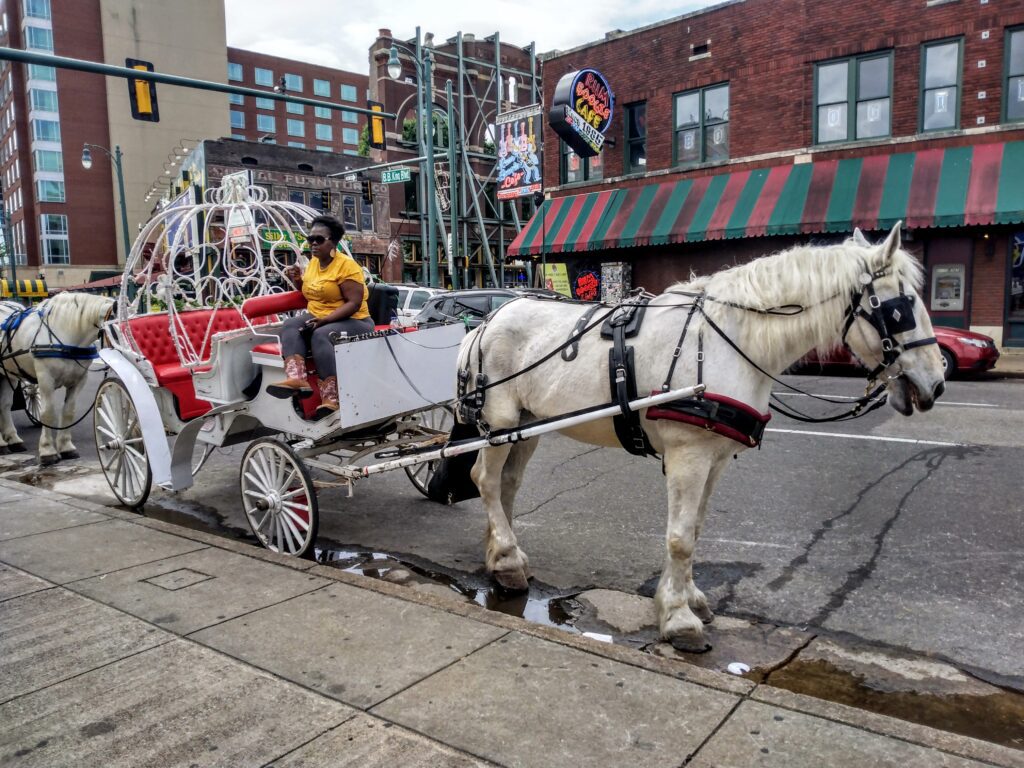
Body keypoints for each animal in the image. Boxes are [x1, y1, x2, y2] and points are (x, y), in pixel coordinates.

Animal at [0, 292, 114, 462]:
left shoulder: (79, 380)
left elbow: (68, 411)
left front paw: (66, 447)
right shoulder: (46, 380)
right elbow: (48, 413)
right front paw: (48, 450)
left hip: (9, 375)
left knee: (5, 405)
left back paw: (13, 439)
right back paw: (2, 444)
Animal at [456, 225, 942, 651]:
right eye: (901, 307)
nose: (936, 384)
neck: (730, 343)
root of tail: (487, 320)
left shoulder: (716, 458)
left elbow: (696, 529)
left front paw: (688, 600)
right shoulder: (688, 454)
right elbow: (680, 537)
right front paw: (678, 618)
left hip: (525, 426)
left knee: (507, 485)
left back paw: (501, 556)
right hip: (499, 421)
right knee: (484, 479)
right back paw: (507, 556)